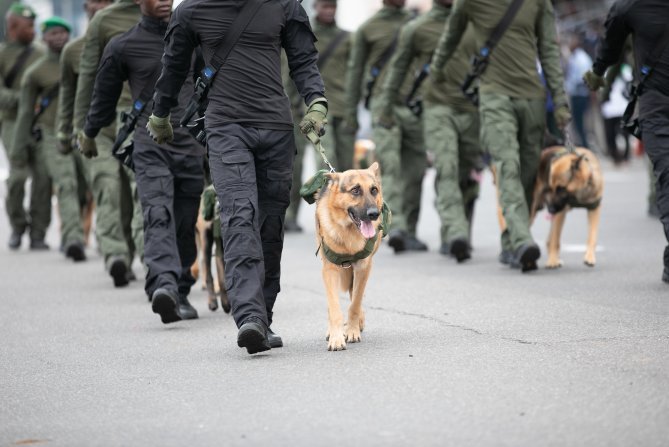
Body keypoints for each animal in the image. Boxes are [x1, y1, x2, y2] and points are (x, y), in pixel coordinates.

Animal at [303, 162, 388, 351]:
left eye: (374, 190)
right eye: (355, 190)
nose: (374, 214)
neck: (349, 231)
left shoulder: (363, 269)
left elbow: (355, 303)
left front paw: (352, 330)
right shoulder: (330, 270)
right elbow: (334, 307)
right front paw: (336, 337)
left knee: (354, 297)